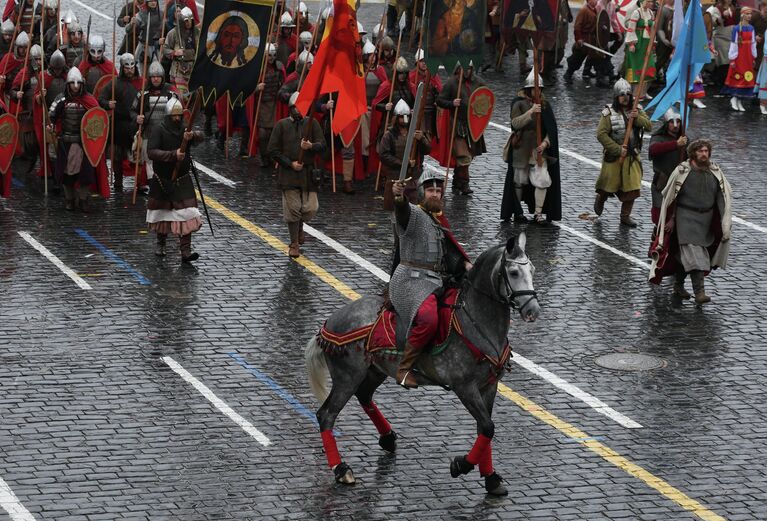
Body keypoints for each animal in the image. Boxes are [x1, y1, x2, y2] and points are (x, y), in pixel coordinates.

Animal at [306, 234, 540, 494]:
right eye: (513, 272)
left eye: (532, 269)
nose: (532, 310)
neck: (476, 322)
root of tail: (327, 325)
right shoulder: (465, 387)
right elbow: (488, 427)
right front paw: (461, 465)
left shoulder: (489, 386)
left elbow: (485, 429)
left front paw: (490, 478)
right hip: (347, 377)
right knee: (326, 415)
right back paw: (341, 469)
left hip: (376, 371)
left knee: (364, 396)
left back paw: (387, 438)